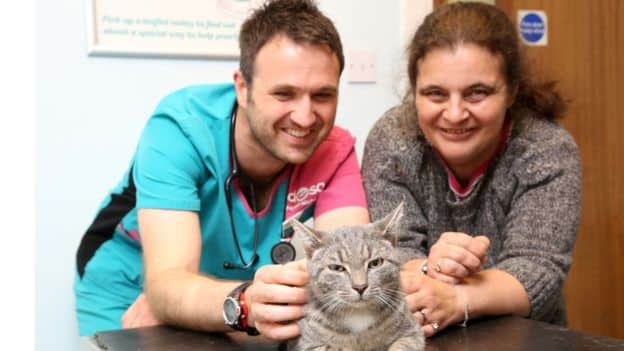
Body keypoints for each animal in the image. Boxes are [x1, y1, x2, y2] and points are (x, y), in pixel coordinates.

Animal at [288, 204, 424, 351]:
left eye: (375, 263)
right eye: (336, 268)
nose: (360, 287)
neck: (358, 314)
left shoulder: (412, 333)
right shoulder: (308, 344)